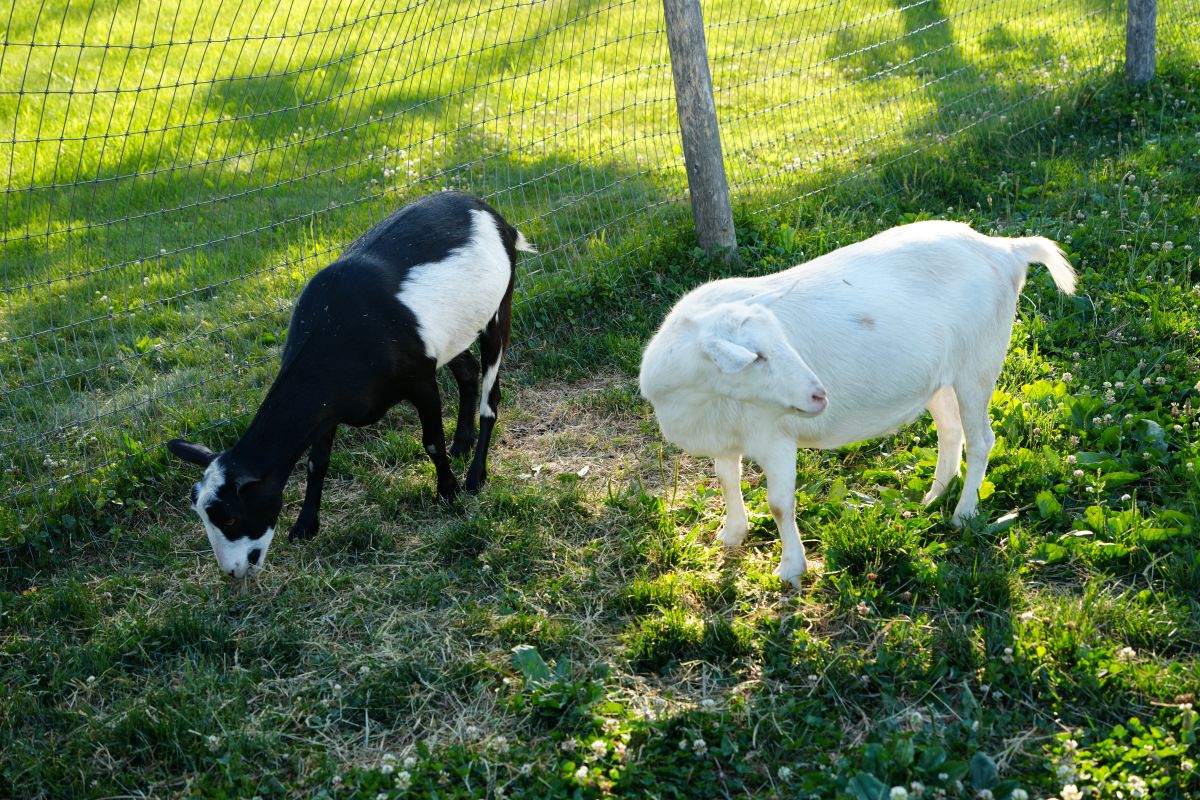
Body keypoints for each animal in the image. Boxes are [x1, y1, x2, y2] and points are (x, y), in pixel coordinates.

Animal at [168, 191, 535, 579]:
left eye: (231, 517)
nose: (233, 571)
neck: (340, 332)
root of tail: (492, 214)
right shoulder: (327, 409)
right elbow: (317, 462)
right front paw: (305, 526)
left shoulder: (419, 379)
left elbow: (431, 442)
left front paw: (447, 492)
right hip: (453, 334)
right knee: (467, 373)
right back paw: (462, 444)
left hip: (500, 307)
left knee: (490, 397)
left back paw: (476, 476)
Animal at [638, 221, 1075, 587]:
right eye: (756, 356)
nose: (818, 395)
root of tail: (1004, 250)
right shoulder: (726, 435)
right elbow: (727, 480)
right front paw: (732, 535)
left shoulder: (774, 437)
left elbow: (779, 505)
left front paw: (790, 570)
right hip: (941, 378)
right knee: (952, 431)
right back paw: (933, 497)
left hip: (978, 363)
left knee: (982, 438)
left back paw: (962, 515)